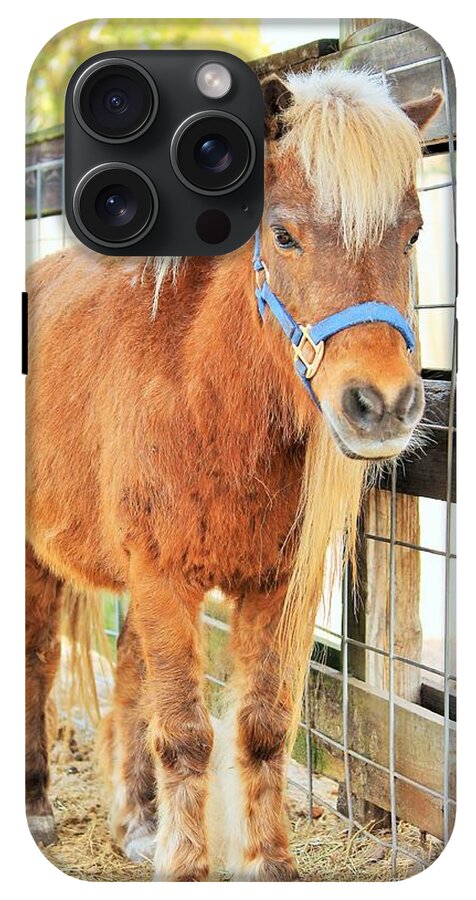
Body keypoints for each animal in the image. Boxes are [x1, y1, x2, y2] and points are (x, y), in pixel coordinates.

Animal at [25, 67, 442, 881]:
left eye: (412, 233)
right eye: (282, 234)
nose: (382, 405)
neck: (206, 393)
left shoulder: (275, 588)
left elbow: (261, 727)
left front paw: (268, 865)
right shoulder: (163, 576)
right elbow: (186, 733)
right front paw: (188, 868)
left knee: (129, 677)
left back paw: (137, 822)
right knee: (37, 663)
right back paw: (36, 807)